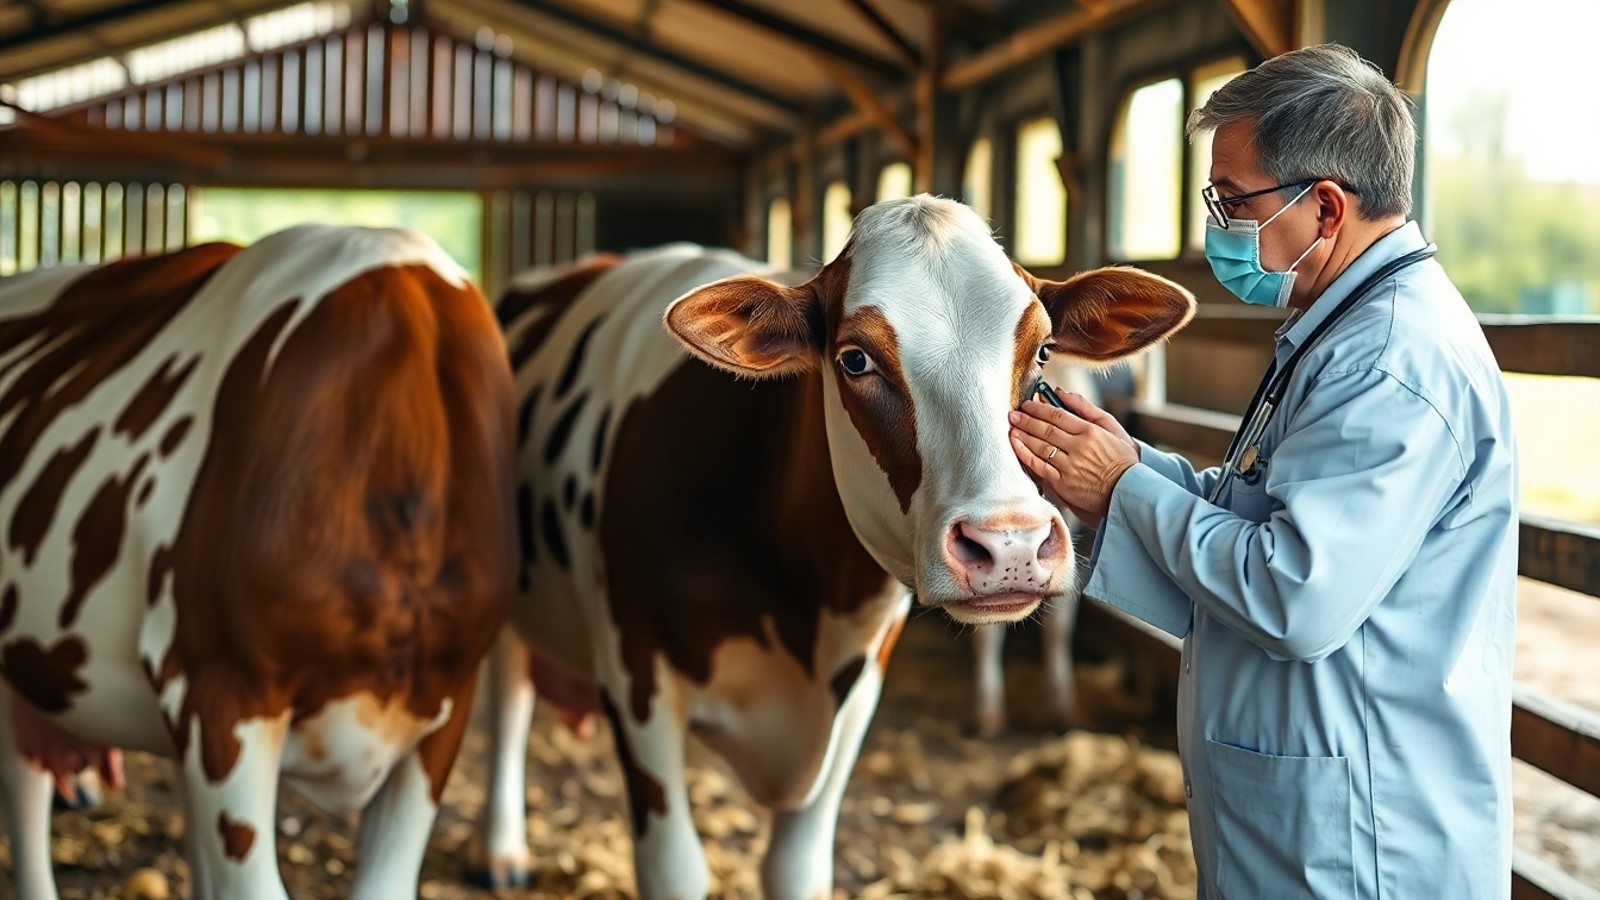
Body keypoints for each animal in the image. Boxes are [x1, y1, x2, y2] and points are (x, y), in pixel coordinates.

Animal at [474, 195, 1194, 899]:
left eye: (1043, 352)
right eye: (855, 359)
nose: (1010, 543)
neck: (801, 595)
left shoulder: (855, 694)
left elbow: (794, 869)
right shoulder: (636, 676)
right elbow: (674, 868)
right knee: (507, 703)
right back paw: (502, 850)